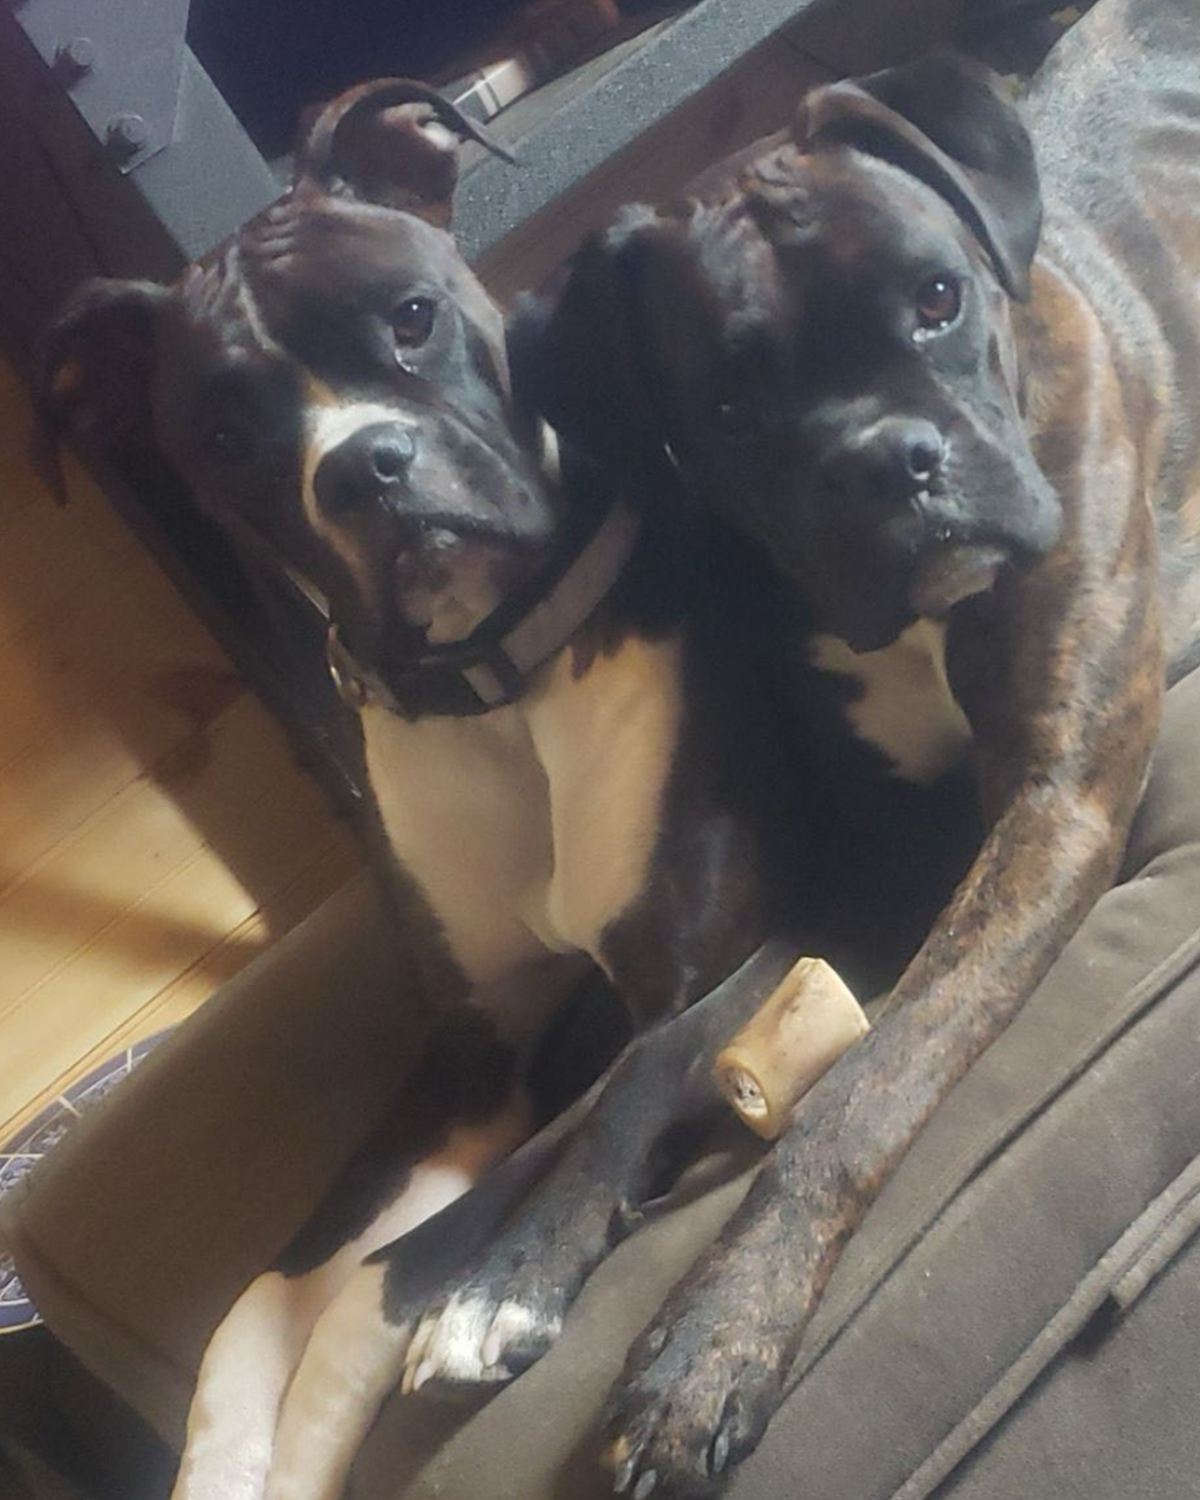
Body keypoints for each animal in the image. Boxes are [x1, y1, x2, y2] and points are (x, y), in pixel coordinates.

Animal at [38, 78, 983, 1500]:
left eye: (409, 317)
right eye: (222, 433)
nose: (361, 467)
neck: (498, 692)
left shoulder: (690, 976)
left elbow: (390, 1269)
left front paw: (426, 1341)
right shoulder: (473, 1044)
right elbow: (260, 1300)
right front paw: (237, 1453)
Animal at [492, 1, 1200, 1493]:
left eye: (936, 299)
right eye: (724, 411)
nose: (887, 463)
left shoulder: (1043, 814)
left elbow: (862, 1089)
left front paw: (711, 1346)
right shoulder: (872, 855)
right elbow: (666, 1042)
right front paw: (515, 1268)